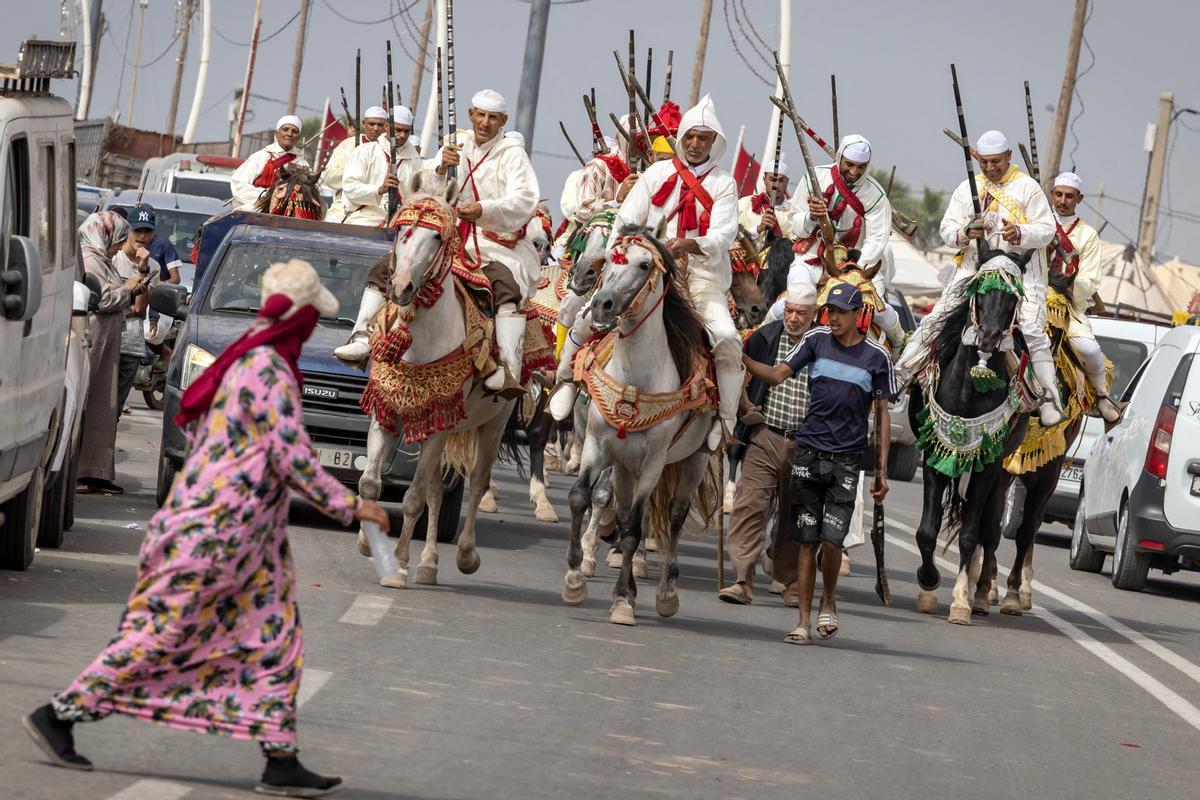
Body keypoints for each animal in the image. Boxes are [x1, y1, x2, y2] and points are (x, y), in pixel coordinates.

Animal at [360, 176, 520, 587]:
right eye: (401, 230)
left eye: (435, 237)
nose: (400, 287)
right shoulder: (388, 412)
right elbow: (371, 482)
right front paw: (368, 543)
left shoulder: (435, 427)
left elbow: (413, 496)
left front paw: (398, 564)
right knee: (436, 488)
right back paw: (429, 563)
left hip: (492, 424)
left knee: (476, 484)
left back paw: (464, 555)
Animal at [564, 224, 720, 623]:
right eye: (611, 260)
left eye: (644, 264)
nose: (601, 304)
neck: (636, 378)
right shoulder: (597, 446)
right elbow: (582, 498)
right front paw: (575, 576)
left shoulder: (652, 462)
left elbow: (635, 528)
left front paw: (623, 600)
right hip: (623, 463)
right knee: (617, 508)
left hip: (693, 460)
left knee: (674, 517)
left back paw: (667, 591)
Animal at [907, 247, 1032, 623]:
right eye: (981, 290)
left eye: (1013, 298)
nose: (988, 337)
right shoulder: (935, 457)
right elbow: (927, 530)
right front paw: (928, 583)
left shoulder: (987, 467)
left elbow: (970, 534)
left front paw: (961, 600)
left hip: (1002, 471)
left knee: (989, 530)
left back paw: (982, 594)